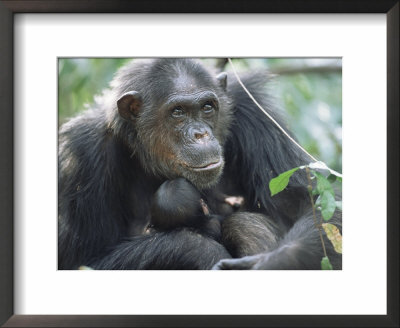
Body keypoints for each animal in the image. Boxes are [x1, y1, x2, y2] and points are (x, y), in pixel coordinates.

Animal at [57, 58, 342, 270]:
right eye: (178, 112)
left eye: (207, 107)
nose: (200, 134)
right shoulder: (81, 155)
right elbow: (83, 261)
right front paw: (201, 250)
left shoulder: (254, 112)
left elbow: (310, 203)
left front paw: (268, 263)